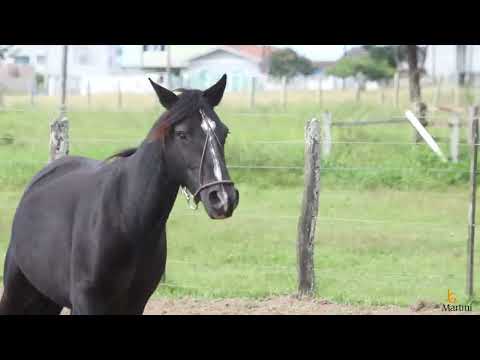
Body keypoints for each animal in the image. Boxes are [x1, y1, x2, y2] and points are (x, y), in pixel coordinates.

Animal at [0, 74, 239, 314]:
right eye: (182, 134)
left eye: (224, 132)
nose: (223, 198)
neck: (126, 216)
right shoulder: (86, 302)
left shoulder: (135, 303)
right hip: (16, 291)